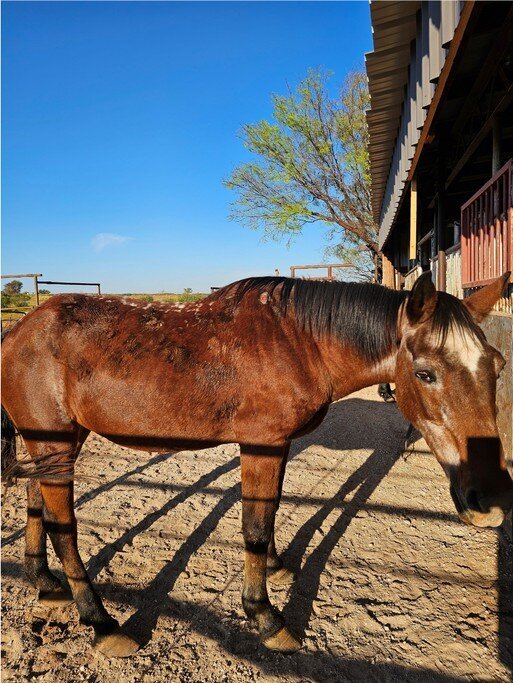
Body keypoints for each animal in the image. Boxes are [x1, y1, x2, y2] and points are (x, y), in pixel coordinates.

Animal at [1, 272, 512, 657]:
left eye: (498, 365)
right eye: (426, 373)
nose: (489, 501)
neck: (299, 341)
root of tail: (18, 331)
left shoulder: (278, 447)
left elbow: (271, 509)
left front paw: (277, 567)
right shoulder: (261, 444)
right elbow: (255, 526)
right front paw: (266, 616)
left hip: (55, 443)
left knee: (36, 501)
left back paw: (44, 581)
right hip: (54, 441)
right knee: (63, 524)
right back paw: (102, 623)